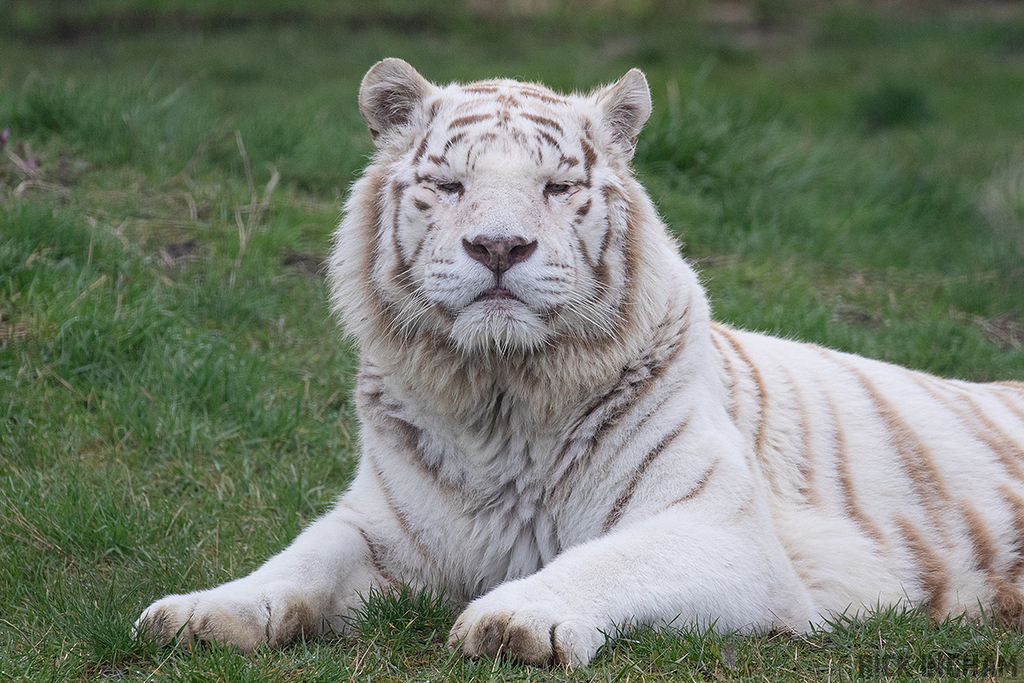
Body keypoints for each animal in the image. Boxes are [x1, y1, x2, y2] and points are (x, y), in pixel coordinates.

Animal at [136, 58, 1024, 667]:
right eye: (449, 185)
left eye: (558, 187)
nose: (499, 246)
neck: (499, 397)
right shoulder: (383, 525)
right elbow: (297, 559)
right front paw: (197, 611)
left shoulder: (723, 529)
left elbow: (606, 557)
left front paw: (513, 619)